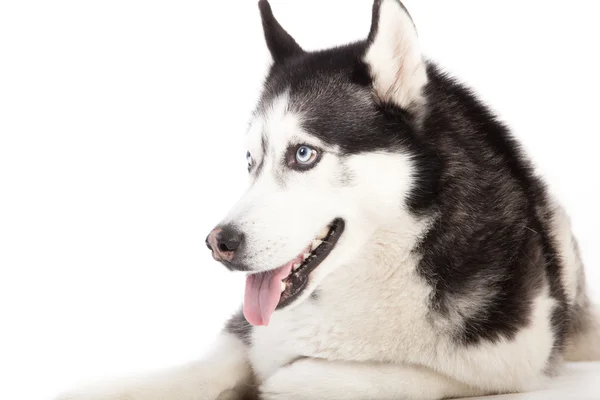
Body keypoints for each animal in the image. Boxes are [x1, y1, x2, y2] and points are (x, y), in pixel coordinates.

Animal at [61, 0, 600, 400]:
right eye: (250, 161)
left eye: (303, 154)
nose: (219, 243)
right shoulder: (244, 330)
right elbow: (201, 366)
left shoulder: (515, 356)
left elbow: (365, 375)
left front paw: (279, 381)